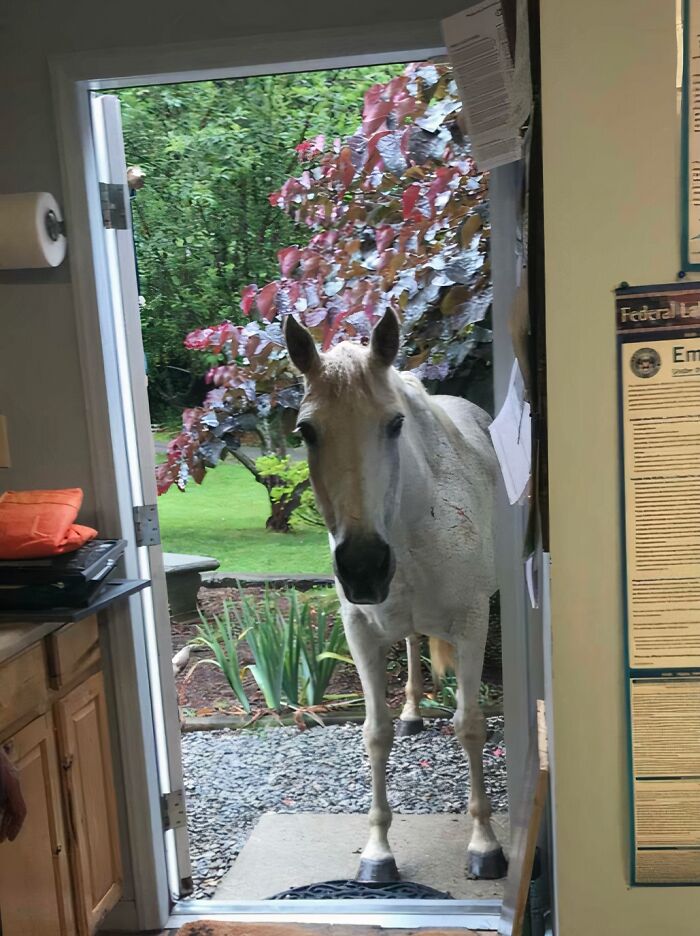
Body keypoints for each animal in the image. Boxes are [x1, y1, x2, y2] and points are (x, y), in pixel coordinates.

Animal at [284, 308, 506, 883]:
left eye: (395, 423)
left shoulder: (472, 624)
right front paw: (378, 852)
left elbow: (469, 725)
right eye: (307, 430)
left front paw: (485, 845)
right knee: (409, 645)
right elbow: (375, 733)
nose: (363, 567)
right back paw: (411, 712)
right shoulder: (360, 632)